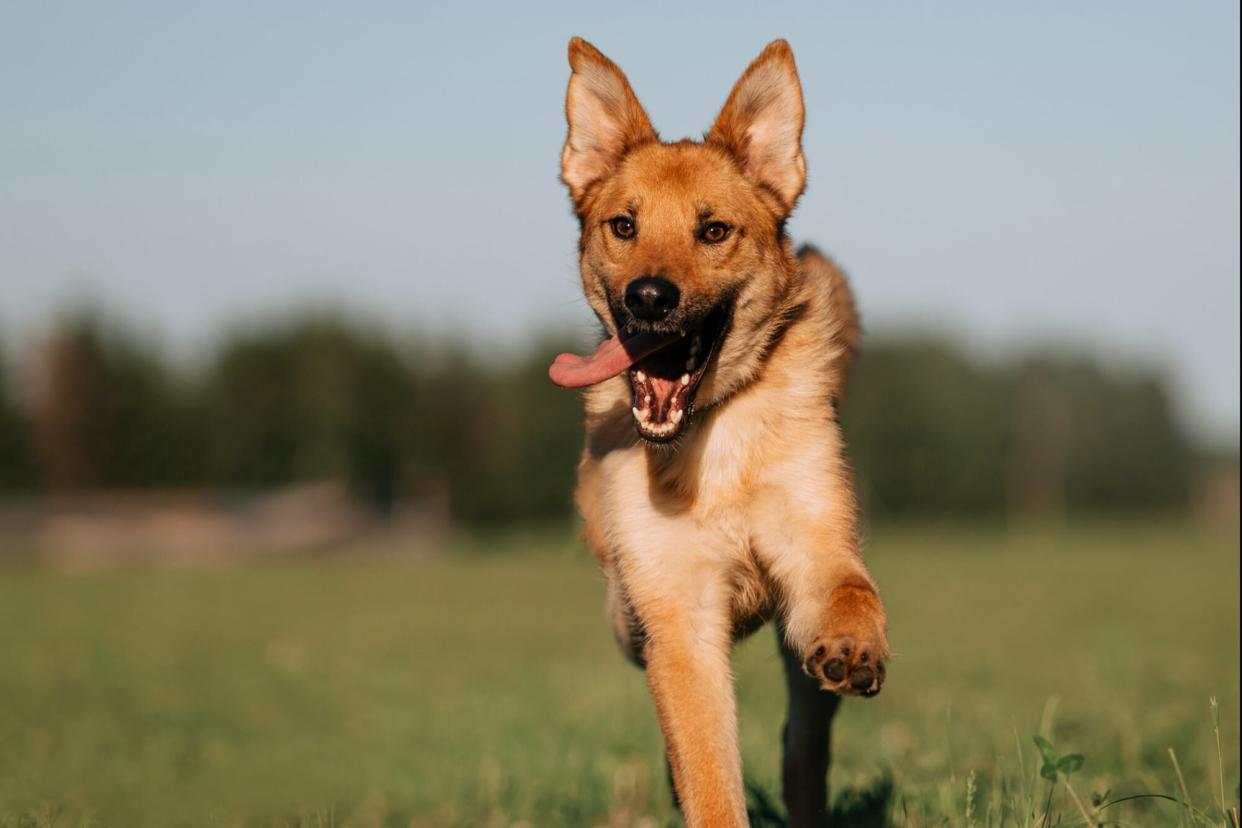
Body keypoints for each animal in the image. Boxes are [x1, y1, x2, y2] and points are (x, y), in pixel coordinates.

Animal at [548, 37, 889, 828]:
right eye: (624, 225)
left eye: (713, 231)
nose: (649, 297)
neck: (711, 442)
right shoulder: (677, 617)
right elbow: (706, 771)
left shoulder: (815, 545)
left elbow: (852, 591)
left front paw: (856, 643)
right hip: (627, 614)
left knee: (803, 747)